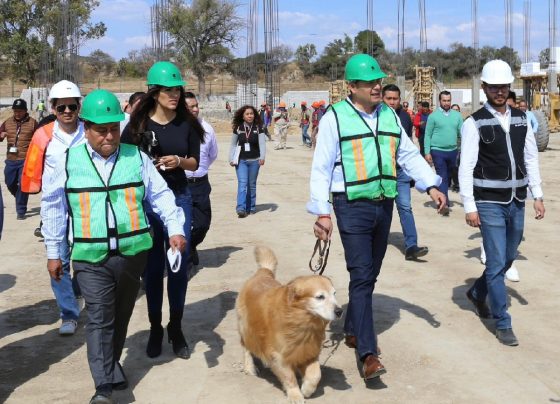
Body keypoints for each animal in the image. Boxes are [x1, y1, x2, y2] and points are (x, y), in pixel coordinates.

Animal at [236, 246, 342, 403]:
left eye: (334, 294)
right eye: (320, 297)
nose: (340, 311)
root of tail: (262, 273)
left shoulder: (308, 350)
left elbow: (316, 374)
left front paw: (306, 389)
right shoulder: (279, 355)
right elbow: (289, 377)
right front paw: (295, 395)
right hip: (246, 327)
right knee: (246, 347)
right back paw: (250, 367)